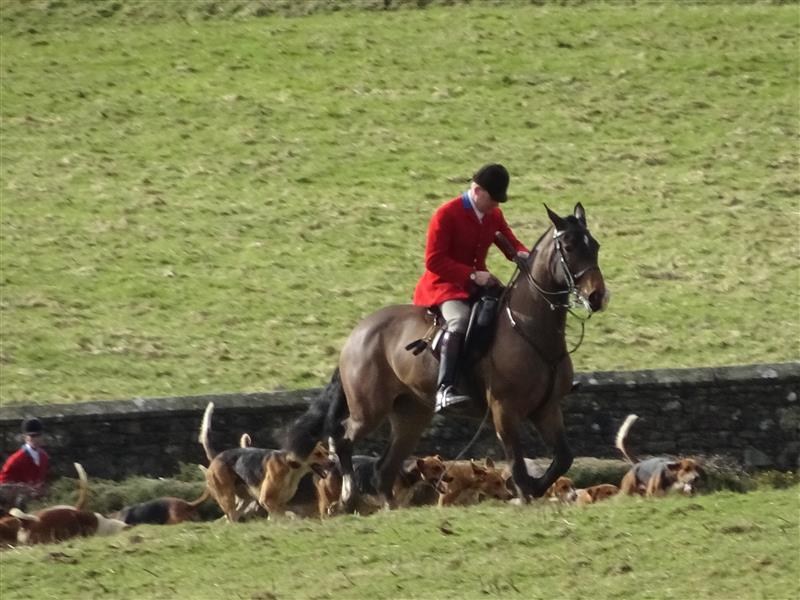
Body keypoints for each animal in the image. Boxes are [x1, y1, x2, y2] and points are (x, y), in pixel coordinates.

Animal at [199, 402, 334, 521]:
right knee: (231, 516)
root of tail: (217, 457)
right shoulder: (267, 500)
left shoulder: (279, 503)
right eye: (317, 454)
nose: (333, 463)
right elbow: (281, 516)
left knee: (233, 516)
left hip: (244, 500)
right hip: (226, 498)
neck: (290, 467)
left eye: (326, 453)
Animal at [284, 203, 608, 509]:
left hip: (412, 413)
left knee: (384, 468)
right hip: (369, 409)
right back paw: (348, 495)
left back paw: (389, 506)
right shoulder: (504, 409)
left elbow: (564, 457)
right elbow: (516, 463)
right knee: (343, 439)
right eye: (569, 247)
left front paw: (538, 488)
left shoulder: (547, 408)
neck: (529, 327)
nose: (596, 297)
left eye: (594, 245)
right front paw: (525, 495)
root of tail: (357, 334)